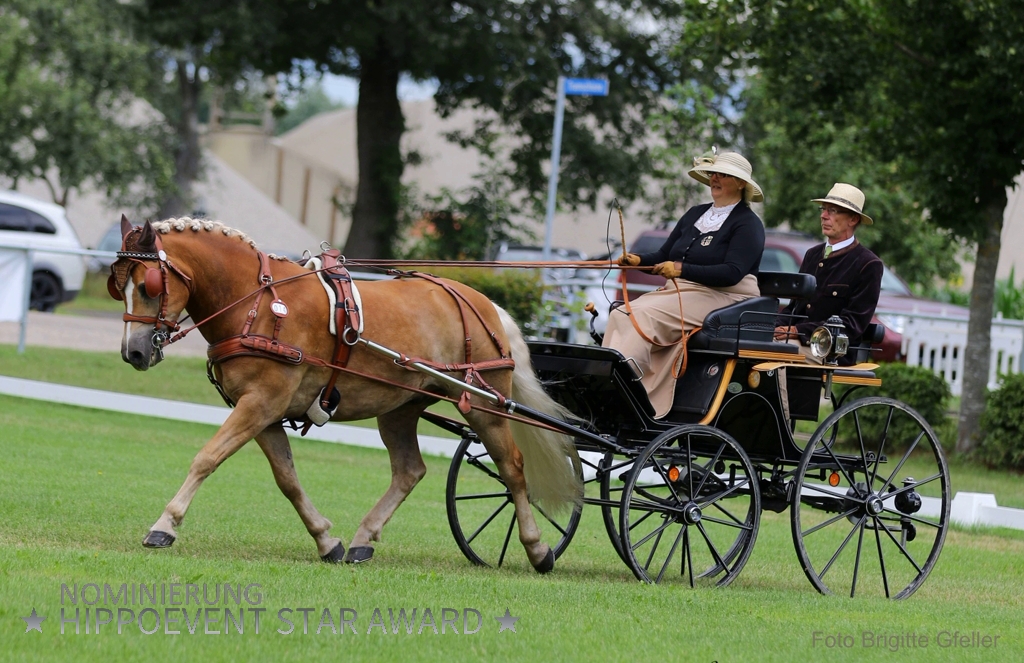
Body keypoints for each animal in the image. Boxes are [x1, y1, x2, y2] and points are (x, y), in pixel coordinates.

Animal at [109, 216, 585, 569]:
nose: (133, 352)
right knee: (409, 471)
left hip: (485, 405)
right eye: (120, 286)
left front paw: (164, 525)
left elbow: (207, 458)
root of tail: (483, 303)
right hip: (400, 407)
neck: (258, 304)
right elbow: (287, 480)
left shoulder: (261, 403)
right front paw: (326, 540)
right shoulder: (264, 412)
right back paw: (362, 540)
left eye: (149, 285)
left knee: (513, 469)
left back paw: (537, 548)